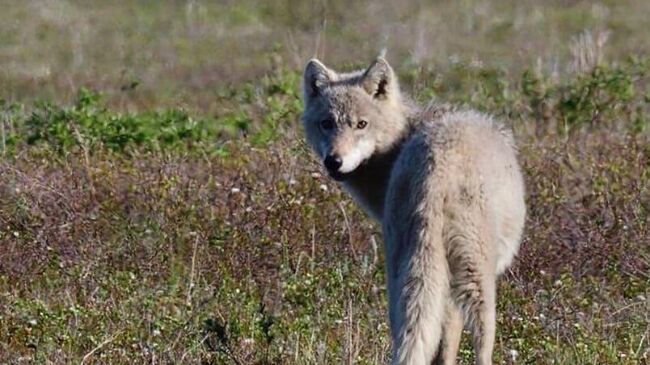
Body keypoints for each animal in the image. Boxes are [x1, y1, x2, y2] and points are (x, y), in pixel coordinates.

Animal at [302, 55, 524, 362]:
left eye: (361, 124)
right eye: (327, 123)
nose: (334, 161)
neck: (399, 142)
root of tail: (434, 169)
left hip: (403, 280)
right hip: (475, 282)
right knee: (480, 349)